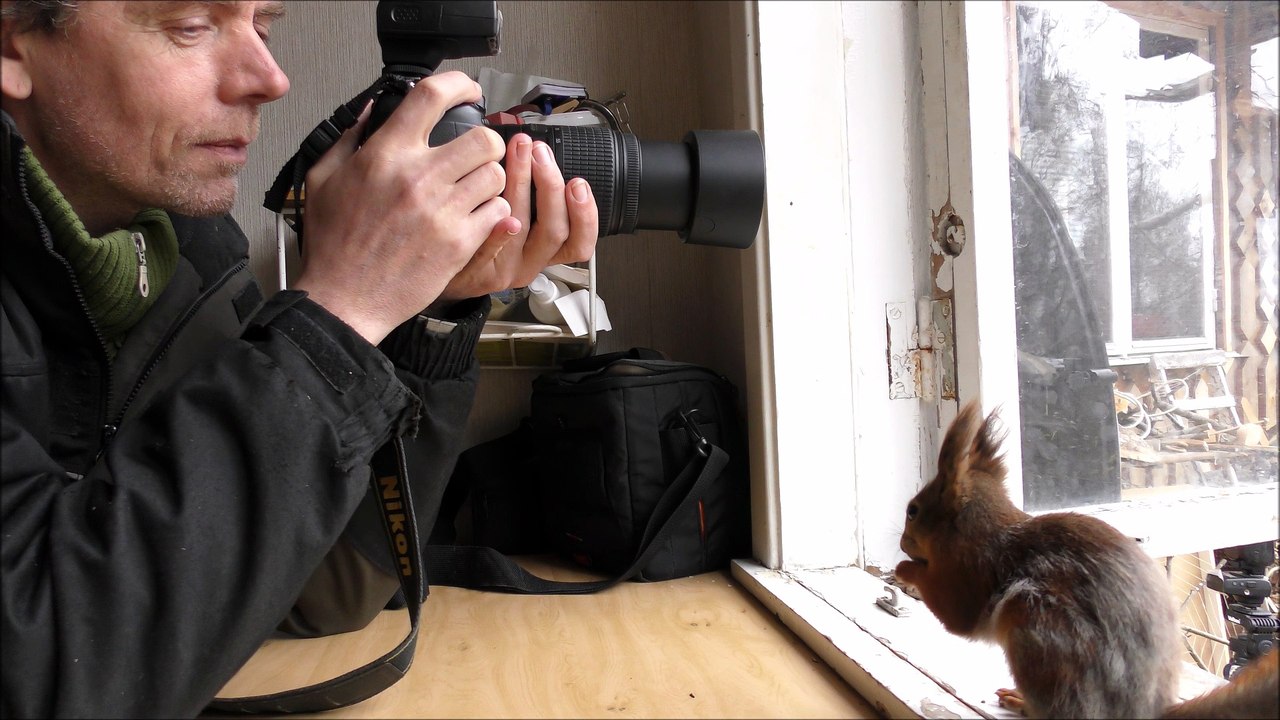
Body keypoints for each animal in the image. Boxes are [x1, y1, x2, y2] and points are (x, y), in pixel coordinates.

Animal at [894, 401, 1279, 719]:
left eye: (913, 511)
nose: (901, 542)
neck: (984, 530)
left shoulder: (970, 574)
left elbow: (955, 615)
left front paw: (905, 569)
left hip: (1036, 628)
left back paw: (1023, 703)